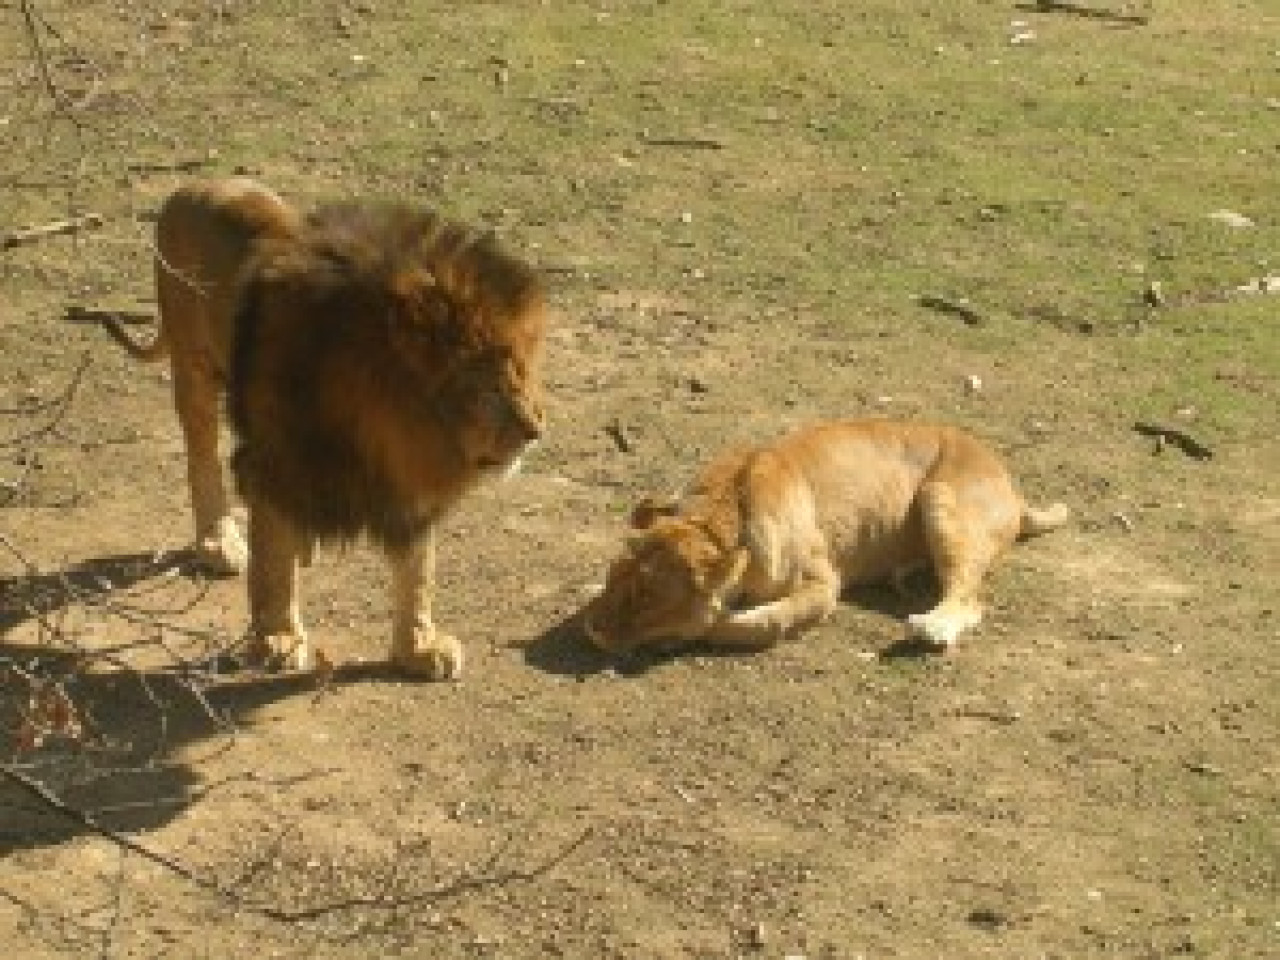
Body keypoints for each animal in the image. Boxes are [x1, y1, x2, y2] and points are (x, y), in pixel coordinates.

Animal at [228, 200, 547, 679]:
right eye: (488, 388)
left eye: (522, 374)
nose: (536, 431)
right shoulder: (274, 464)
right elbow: (273, 562)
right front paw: (277, 638)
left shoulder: (410, 488)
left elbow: (418, 575)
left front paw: (418, 649)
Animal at [583, 419, 1068, 656]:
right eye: (614, 576)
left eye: (646, 598)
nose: (591, 629)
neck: (717, 520)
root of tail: (1010, 480)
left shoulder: (823, 584)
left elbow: (757, 621)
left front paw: (702, 625)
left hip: (940, 498)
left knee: (970, 596)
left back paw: (933, 627)